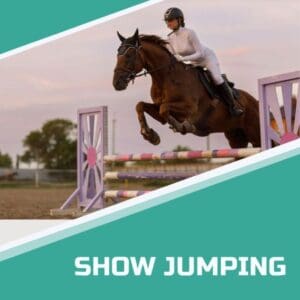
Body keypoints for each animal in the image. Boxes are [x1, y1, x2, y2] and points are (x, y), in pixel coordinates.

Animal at [112, 28, 260, 148]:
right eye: (117, 55)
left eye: (129, 55)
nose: (116, 83)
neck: (166, 77)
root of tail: (256, 101)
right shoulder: (160, 110)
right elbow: (141, 106)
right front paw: (150, 135)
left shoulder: (189, 108)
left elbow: (164, 109)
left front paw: (182, 127)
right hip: (236, 138)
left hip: (255, 135)